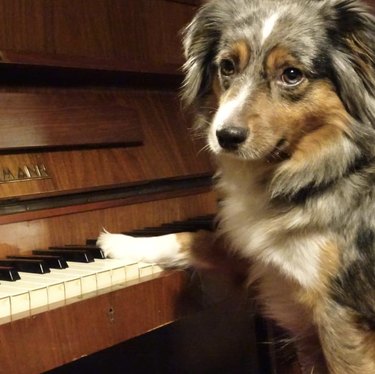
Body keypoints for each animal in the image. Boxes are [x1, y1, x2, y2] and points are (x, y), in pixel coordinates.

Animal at [98, 1, 375, 372]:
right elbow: (196, 237)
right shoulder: (259, 252)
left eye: (291, 74)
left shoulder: (340, 313)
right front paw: (121, 242)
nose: (225, 137)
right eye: (227, 66)